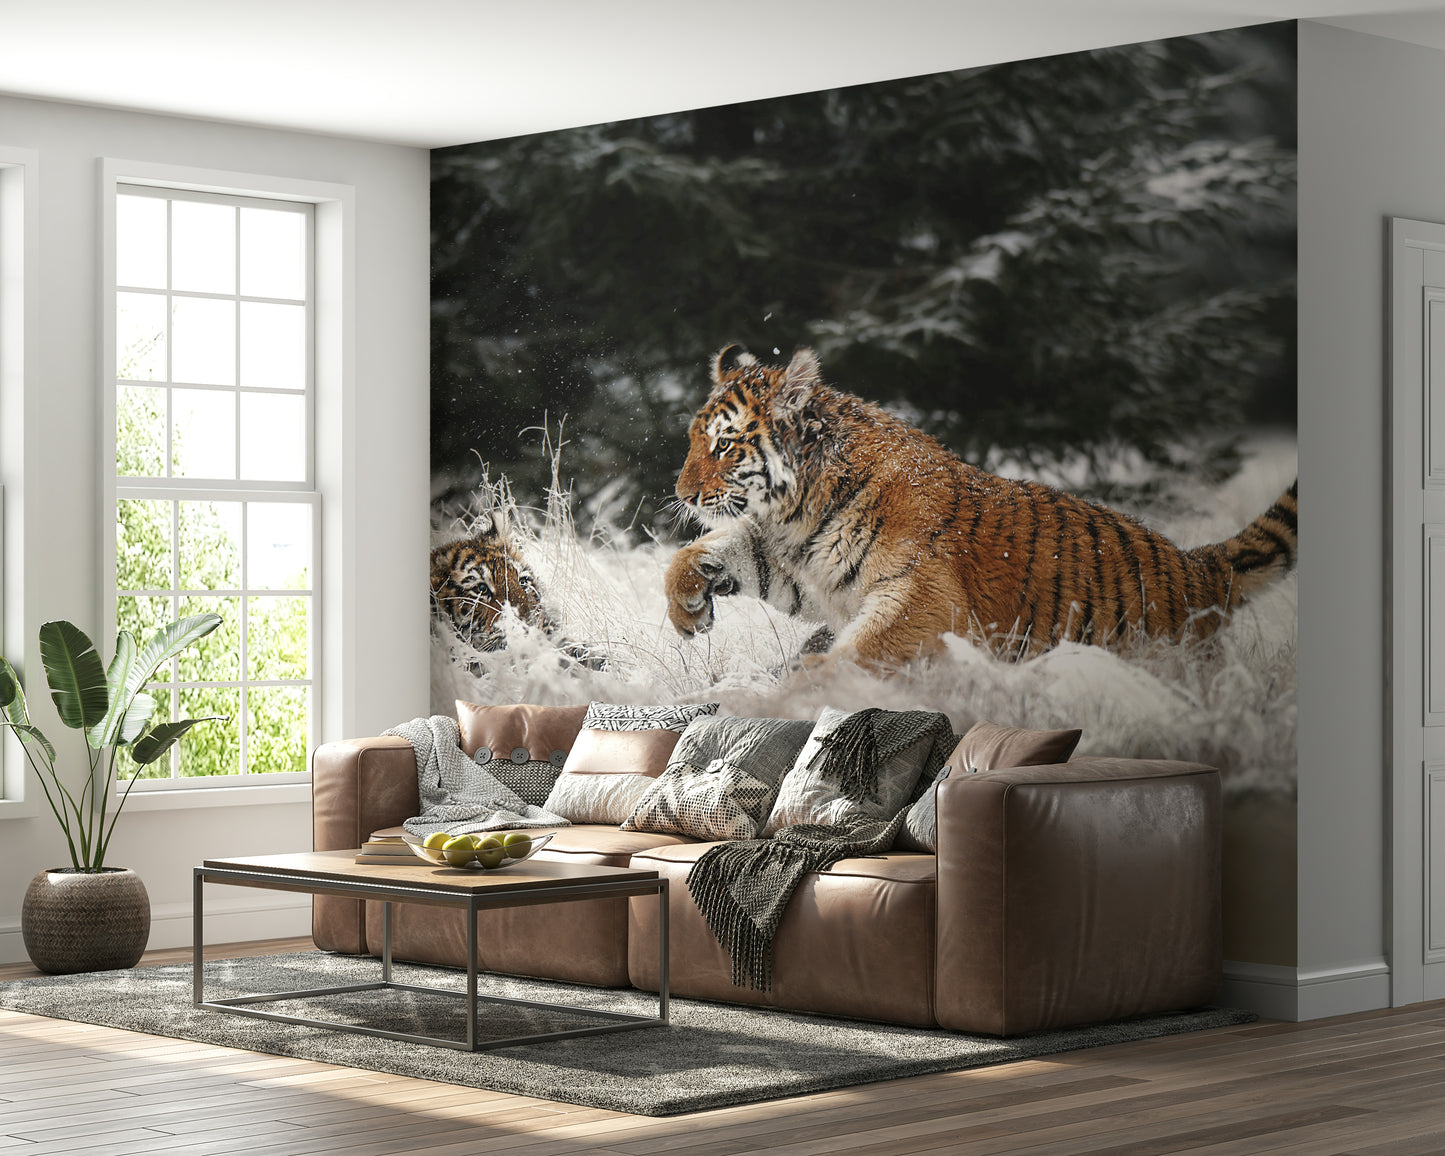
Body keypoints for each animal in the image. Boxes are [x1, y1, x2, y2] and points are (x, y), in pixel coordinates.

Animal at [665, 344, 1298, 670]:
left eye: (724, 445)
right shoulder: (806, 571)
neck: (798, 512)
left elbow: (858, 652)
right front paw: (688, 607)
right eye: (695, 439)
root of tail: (1202, 566)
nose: (683, 495)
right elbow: (710, 549)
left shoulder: (922, 596)